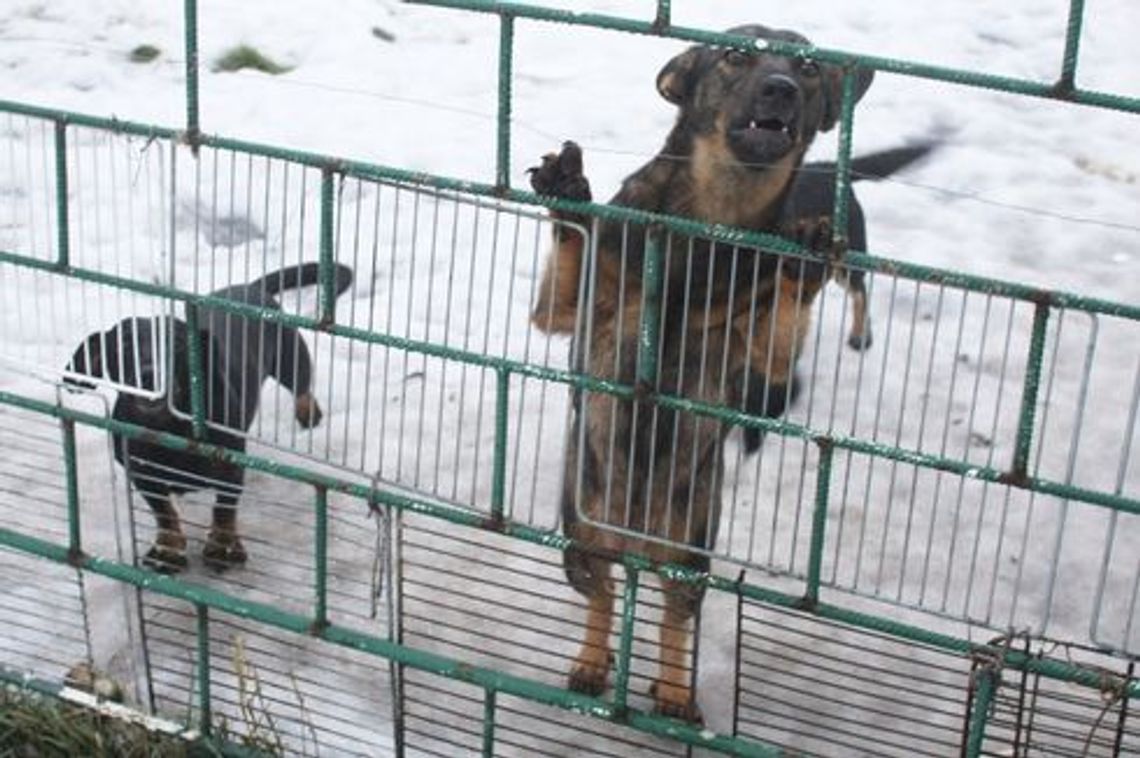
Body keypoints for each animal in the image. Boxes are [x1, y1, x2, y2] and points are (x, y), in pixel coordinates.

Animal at [528, 25, 939, 720]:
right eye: (736, 55)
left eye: (808, 66)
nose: (782, 88)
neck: (713, 216)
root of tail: (638, 546)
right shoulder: (570, 313)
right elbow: (579, 253)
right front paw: (569, 192)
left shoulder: (759, 349)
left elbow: (782, 315)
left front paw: (802, 259)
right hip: (582, 537)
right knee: (603, 600)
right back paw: (590, 661)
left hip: (691, 551)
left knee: (673, 619)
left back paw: (673, 690)